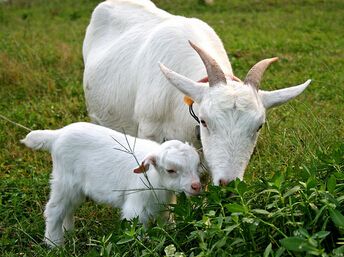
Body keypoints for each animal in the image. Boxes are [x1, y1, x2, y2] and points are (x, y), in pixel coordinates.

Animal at [20, 122, 200, 246]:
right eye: (170, 170)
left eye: (196, 165)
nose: (196, 186)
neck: (154, 177)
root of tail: (57, 135)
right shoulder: (136, 208)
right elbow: (137, 229)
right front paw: (140, 245)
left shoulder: (163, 206)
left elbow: (167, 222)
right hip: (65, 181)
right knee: (54, 209)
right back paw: (55, 244)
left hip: (74, 189)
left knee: (68, 209)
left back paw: (68, 233)